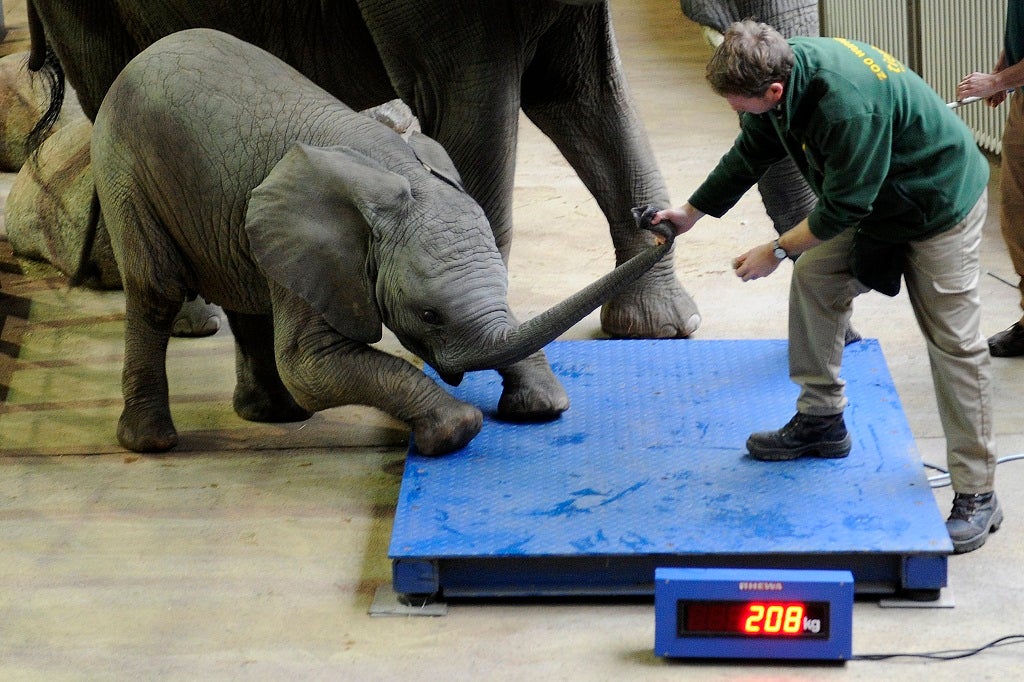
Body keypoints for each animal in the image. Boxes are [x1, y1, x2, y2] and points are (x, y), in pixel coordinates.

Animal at [29, 0, 704, 339]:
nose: (658, 222)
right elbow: (476, 108)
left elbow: (583, 94)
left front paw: (664, 329)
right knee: (112, 81)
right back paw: (193, 321)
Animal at [90, 33, 671, 456]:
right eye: (429, 315)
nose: (654, 219)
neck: (390, 169)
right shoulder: (319, 249)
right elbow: (310, 365)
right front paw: (457, 428)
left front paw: (543, 408)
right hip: (124, 167)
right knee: (158, 289)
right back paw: (153, 443)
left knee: (242, 291)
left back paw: (274, 416)